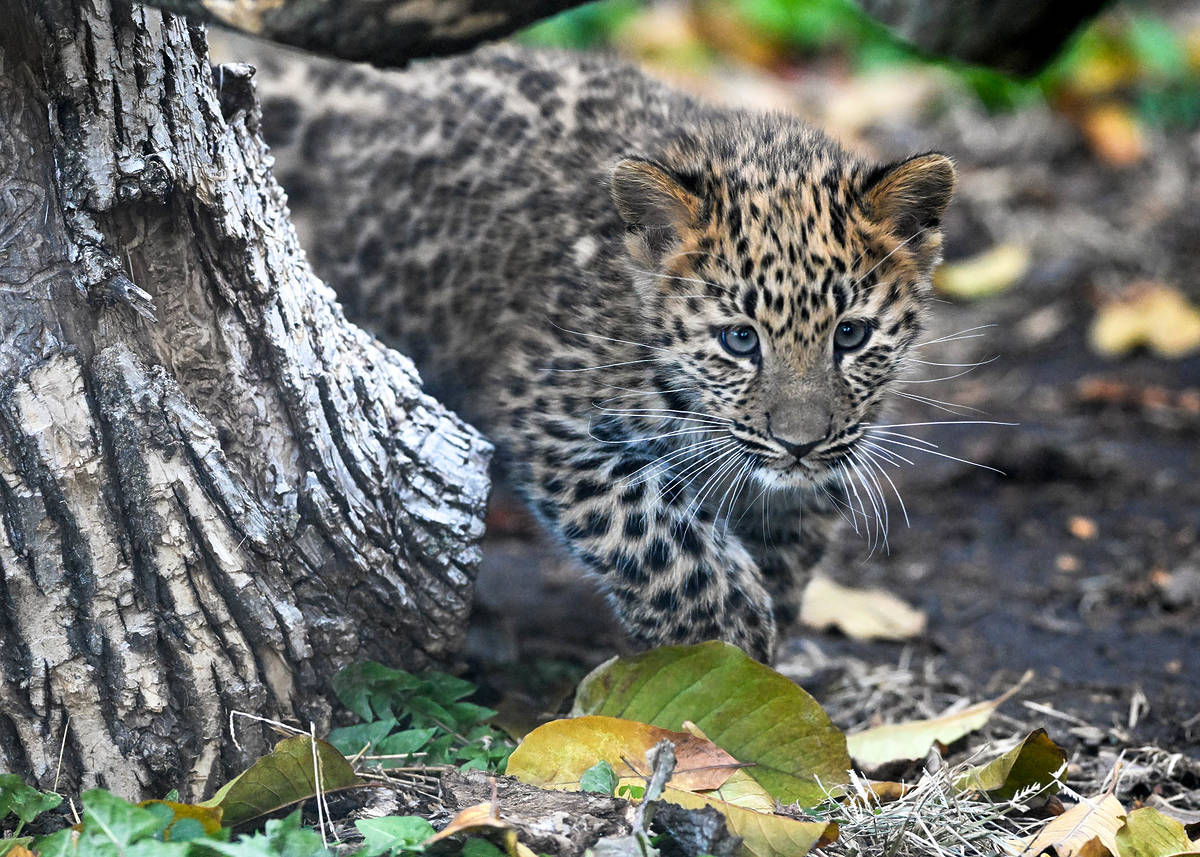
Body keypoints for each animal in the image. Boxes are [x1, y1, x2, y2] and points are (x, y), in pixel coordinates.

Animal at [251, 43, 956, 661]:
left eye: (851, 335)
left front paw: (761, 668)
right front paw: (725, 633)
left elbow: (786, 552)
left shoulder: (802, 486)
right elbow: (651, 531)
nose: (799, 444)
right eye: (739, 339)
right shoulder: (550, 416)